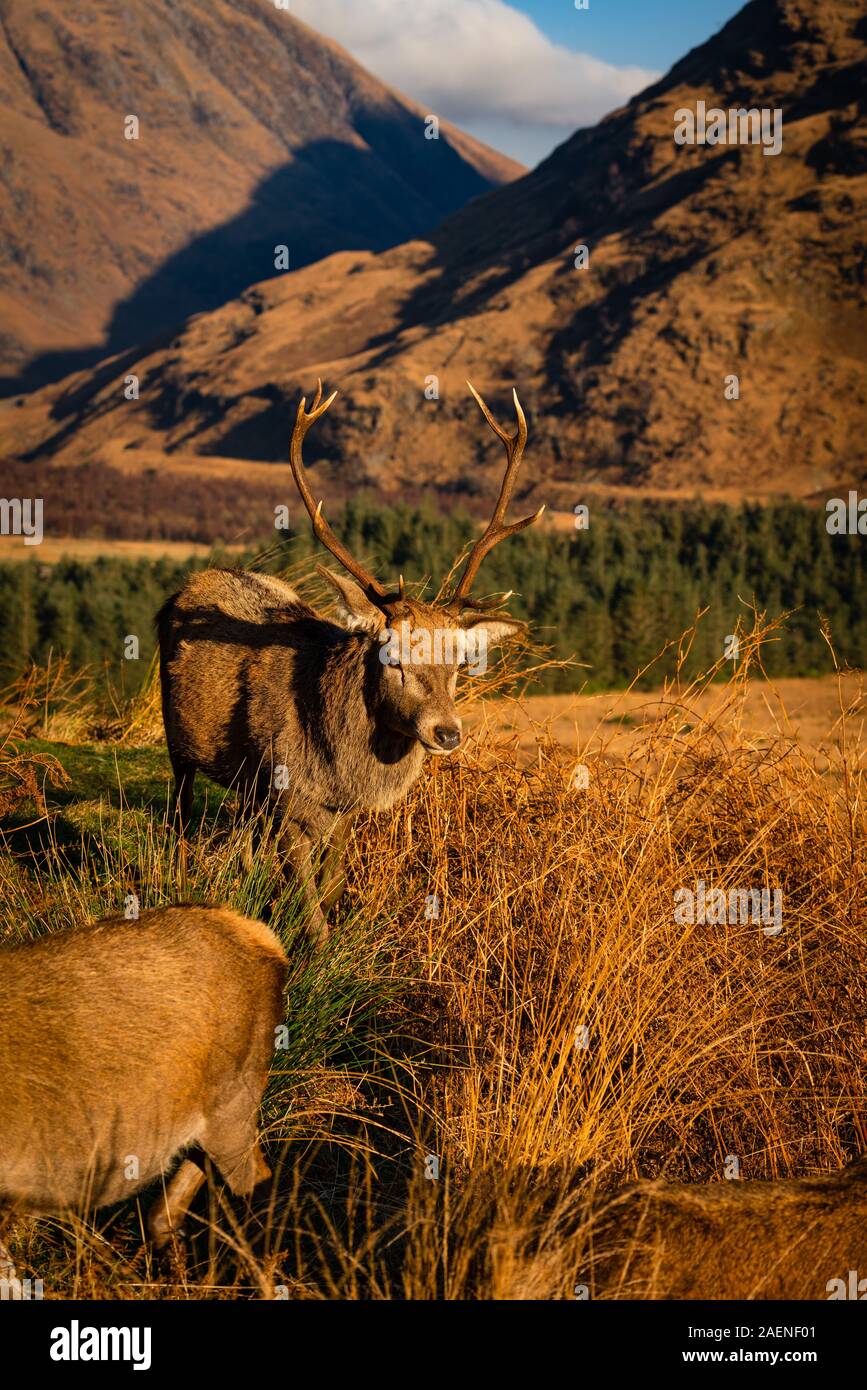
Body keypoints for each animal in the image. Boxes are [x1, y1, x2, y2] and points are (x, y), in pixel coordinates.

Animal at [157, 382, 544, 942]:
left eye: (457, 664)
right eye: (393, 657)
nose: (447, 732)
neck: (336, 769)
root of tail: (185, 588)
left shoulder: (342, 812)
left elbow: (334, 883)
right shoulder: (286, 795)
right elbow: (309, 904)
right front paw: (316, 951)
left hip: (247, 784)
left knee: (243, 835)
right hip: (178, 741)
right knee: (182, 814)